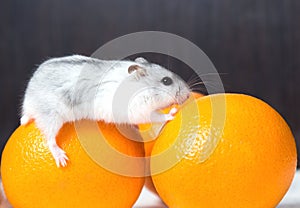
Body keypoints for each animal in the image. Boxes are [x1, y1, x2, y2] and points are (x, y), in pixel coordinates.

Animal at [20, 54, 190, 167]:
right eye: (166, 81)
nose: (189, 94)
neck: (142, 87)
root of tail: (29, 100)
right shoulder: (139, 110)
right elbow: (157, 116)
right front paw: (172, 113)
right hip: (52, 116)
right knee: (49, 139)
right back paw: (62, 159)